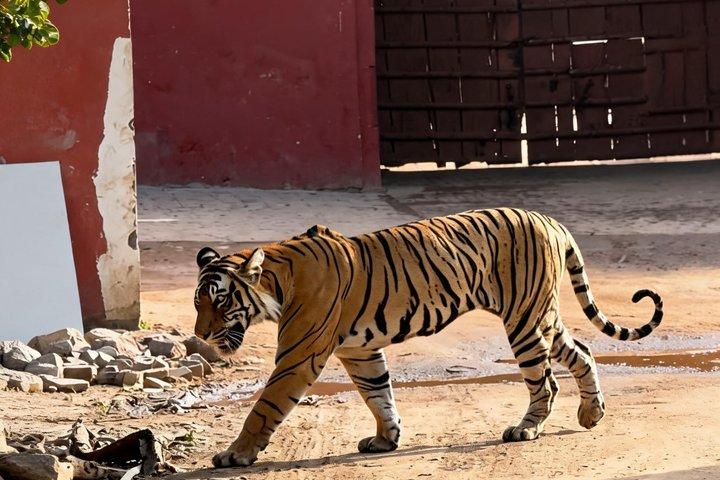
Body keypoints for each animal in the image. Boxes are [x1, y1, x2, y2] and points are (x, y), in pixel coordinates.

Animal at [193, 208, 663, 468]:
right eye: (198, 303)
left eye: (220, 301)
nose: (200, 336)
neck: (277, 280)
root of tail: (552, 220)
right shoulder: (359, 350)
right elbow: (378, 395)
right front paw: (386, 439)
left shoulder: (299, 354)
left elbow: (264, 407)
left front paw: (235, 455)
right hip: (541, 314)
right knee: (581, 351)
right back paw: (591, 415)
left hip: (525, 319)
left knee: (544, 381)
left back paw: (525, 429)